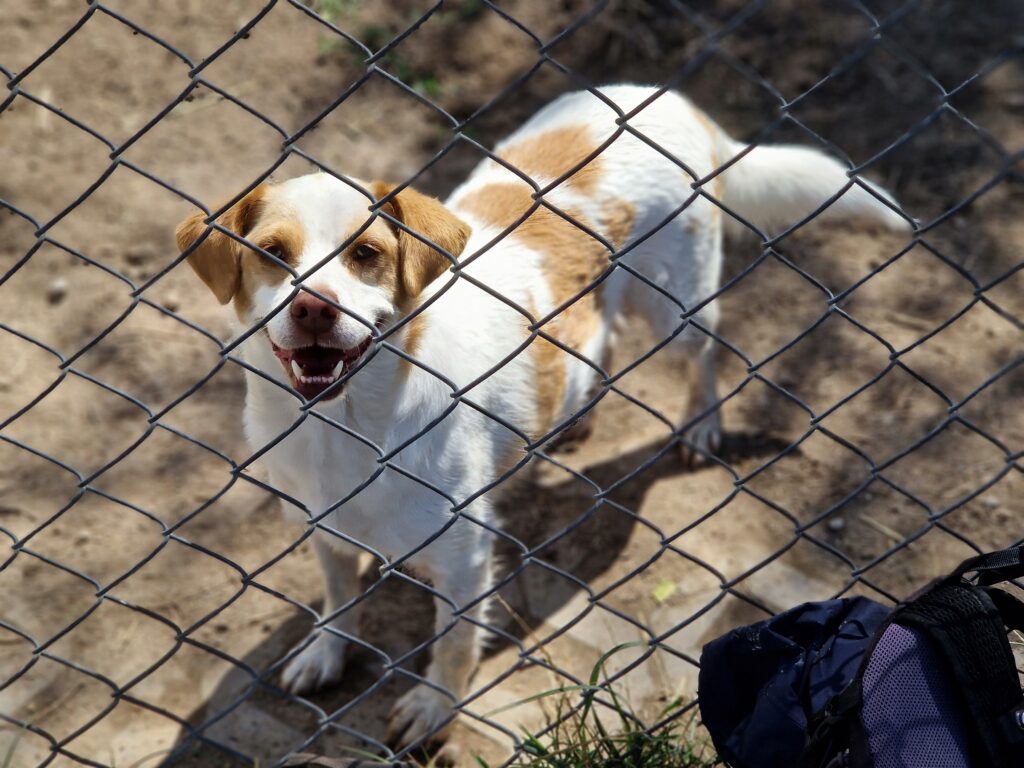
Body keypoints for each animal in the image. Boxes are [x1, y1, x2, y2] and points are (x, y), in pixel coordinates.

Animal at [178, 85, 913, 753]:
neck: (348, 426)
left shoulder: (465, 557)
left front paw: (434, 708)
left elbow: (452, 645)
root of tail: (671, 99)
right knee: (598, 336)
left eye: (366, 255)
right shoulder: (322, 526)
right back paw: (575, 412)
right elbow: (338, 600)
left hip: (679, 308)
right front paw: (327, 651)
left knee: (705, 354)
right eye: (272, 253)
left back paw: (699, 426)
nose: (313, 308)